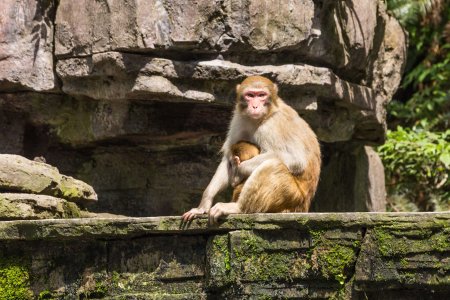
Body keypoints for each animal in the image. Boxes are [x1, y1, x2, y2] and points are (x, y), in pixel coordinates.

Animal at [181, 76, 322, 224]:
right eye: (250, 95)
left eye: (261, 95)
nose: (255, 106)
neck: (264, 116)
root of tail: (305, 206)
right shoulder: (239, 118)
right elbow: (227, 158)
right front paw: (203, 205)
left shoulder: (271, 125)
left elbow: (295, 160)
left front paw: (238, 170)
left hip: (293, 198)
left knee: (272, 165)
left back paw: (238, 207)